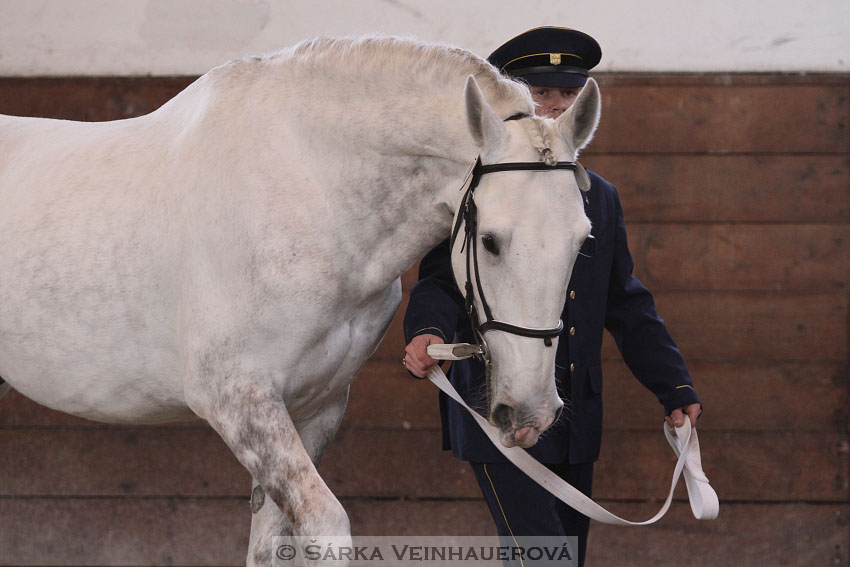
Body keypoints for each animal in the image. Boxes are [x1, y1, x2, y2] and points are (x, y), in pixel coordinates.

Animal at [0, 36, 596, 567]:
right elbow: (325, 526)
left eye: (582, 240)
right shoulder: (238, 400)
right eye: (491, 241)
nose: (531, 413)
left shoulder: (316, 407)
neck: (310, 191)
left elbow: (273, 542)